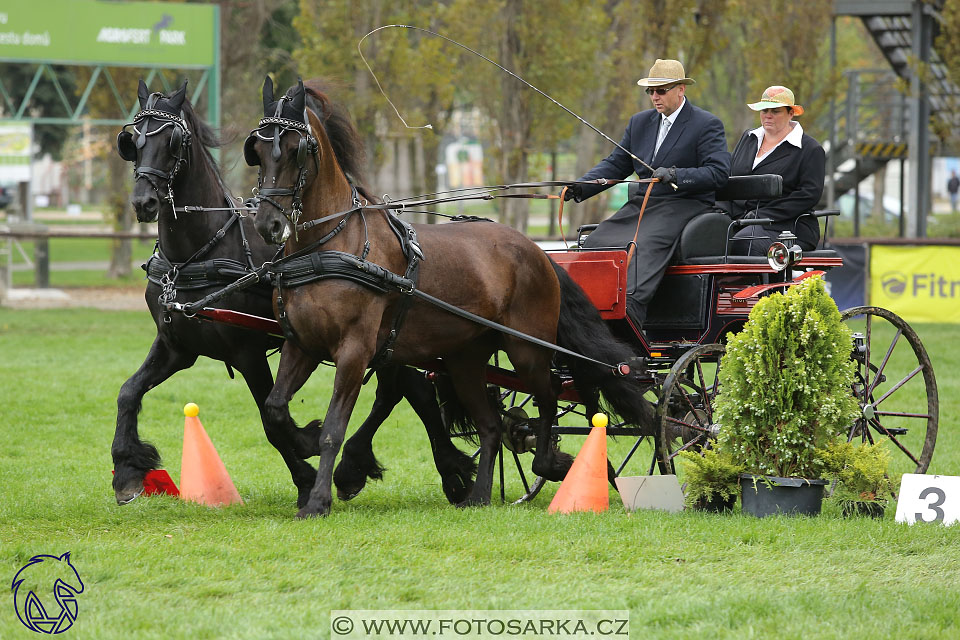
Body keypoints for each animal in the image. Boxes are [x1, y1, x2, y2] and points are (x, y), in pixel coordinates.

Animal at [113, 80, 476, 508]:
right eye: (131, 141)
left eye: (173, 141)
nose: (144, 202)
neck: (198, 253)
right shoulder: (177, 346)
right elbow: (128, 392)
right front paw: (128, 471)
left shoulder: (248, 352)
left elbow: (270, 418)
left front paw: (306, 468)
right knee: (404, 389)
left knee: (410, 390)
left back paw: (443, 473)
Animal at [246, 77, 652, 516]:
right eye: (257, 151)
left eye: (295, 150)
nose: (268, 225)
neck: (332, 245)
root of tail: (536, 250)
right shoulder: (301, 344)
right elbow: (274, 408)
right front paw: (304, 444)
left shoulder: (354, 351)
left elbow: (334, 429)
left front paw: (318, 498)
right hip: (465, 359)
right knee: (492, 424)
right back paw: (479, 495)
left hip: (527, 349)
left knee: (550, 395)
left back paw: (555, 463)